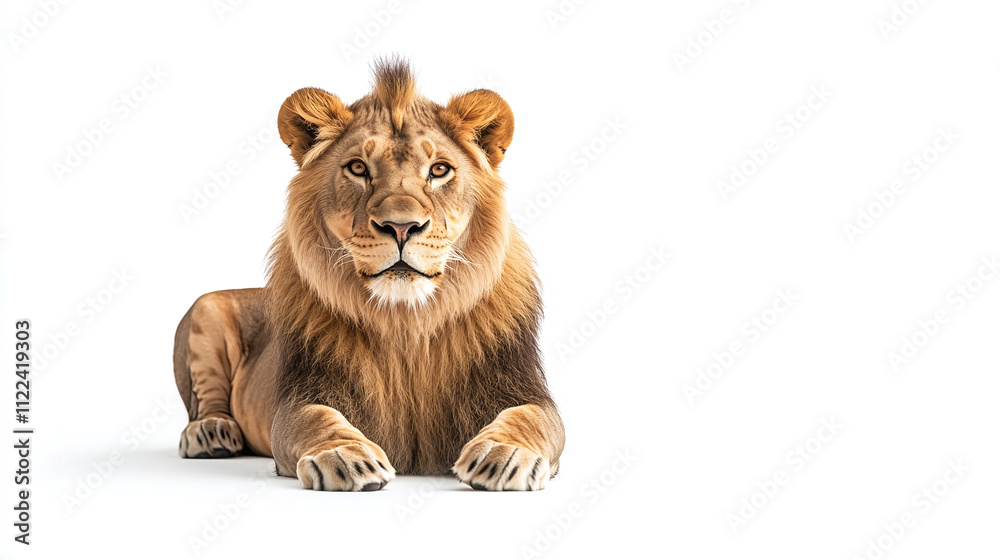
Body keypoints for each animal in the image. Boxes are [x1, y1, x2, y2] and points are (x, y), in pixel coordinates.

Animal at [172, 60, 565, 491]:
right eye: (358, 168)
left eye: (439, 170)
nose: (401, 226)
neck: (406, 320)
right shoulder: (305, 393)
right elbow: (315, 420)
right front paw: (345, 456)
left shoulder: (517, 385)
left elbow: (532, 419)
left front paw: (504, 453)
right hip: (206, 308)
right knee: (205, 400)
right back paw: (210, 432)